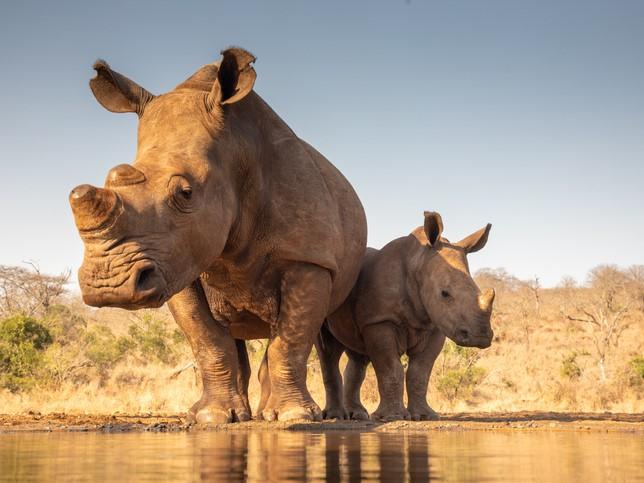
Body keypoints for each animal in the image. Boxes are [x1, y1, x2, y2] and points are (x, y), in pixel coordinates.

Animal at [69, 47, 367, 423]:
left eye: (185, 193)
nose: (109, 285)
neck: (236, 150)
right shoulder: (176, 262)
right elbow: (207, 341)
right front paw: (211, 417)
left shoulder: (308, 258)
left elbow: (291, 341)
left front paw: (294, 417)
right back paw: (246, 414)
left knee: (317, 340)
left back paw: (307, 415)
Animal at [316, 211, 494, 421]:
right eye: (444, 293)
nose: (481, 337)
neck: (417, 262)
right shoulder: (380, 321)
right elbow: (391, 369)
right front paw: (392, 417)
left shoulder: (434, 326)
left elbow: (420, 373)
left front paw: (424, 416)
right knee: (328, 350)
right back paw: (335, 416)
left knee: (358, 355)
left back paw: (358, 415)